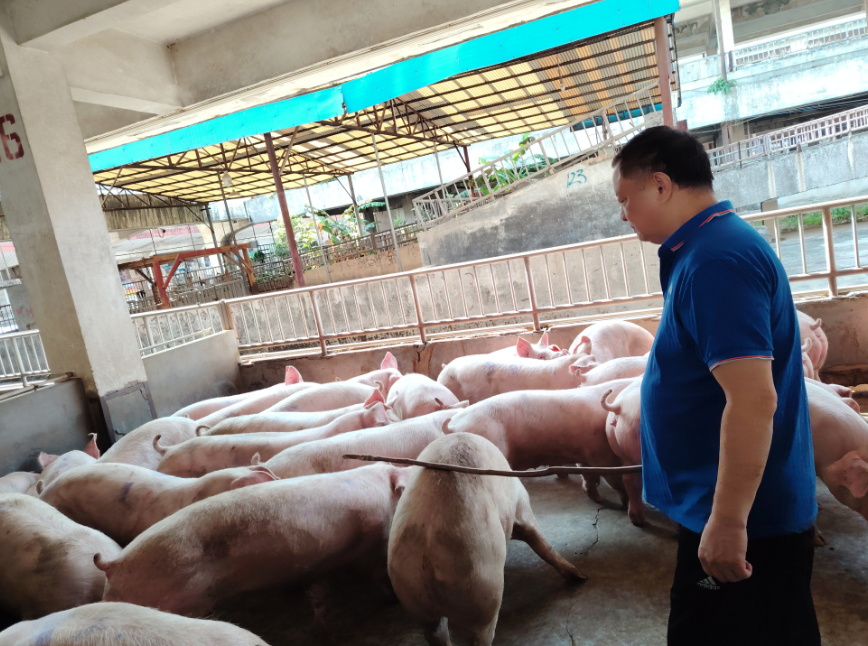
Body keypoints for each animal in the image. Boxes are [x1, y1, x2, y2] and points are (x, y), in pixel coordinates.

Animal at [388, 433, 583, 646]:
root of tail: (429, 552)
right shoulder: (521, 504)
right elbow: (541, 542)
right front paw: (579, 577)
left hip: (412, 595)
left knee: (435, 632)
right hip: (481, 588)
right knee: (480, 632)